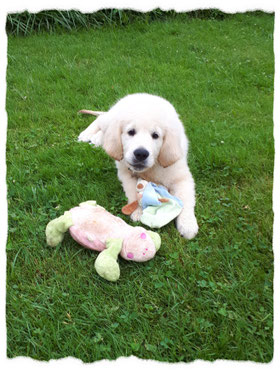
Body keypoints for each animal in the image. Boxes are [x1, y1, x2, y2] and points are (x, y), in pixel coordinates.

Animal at [77, 93, 198, 238]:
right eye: (131, 132)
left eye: (155, 135)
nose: (141, 154)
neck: (152, 168)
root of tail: (139, 94)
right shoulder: (126, 173)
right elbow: (133, 192)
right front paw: (138, 211)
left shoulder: (182, 177)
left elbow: (186, 199)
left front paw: (188, 224)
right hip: (110, 120)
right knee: (102, 122)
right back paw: (87, 134)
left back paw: (97, 139)